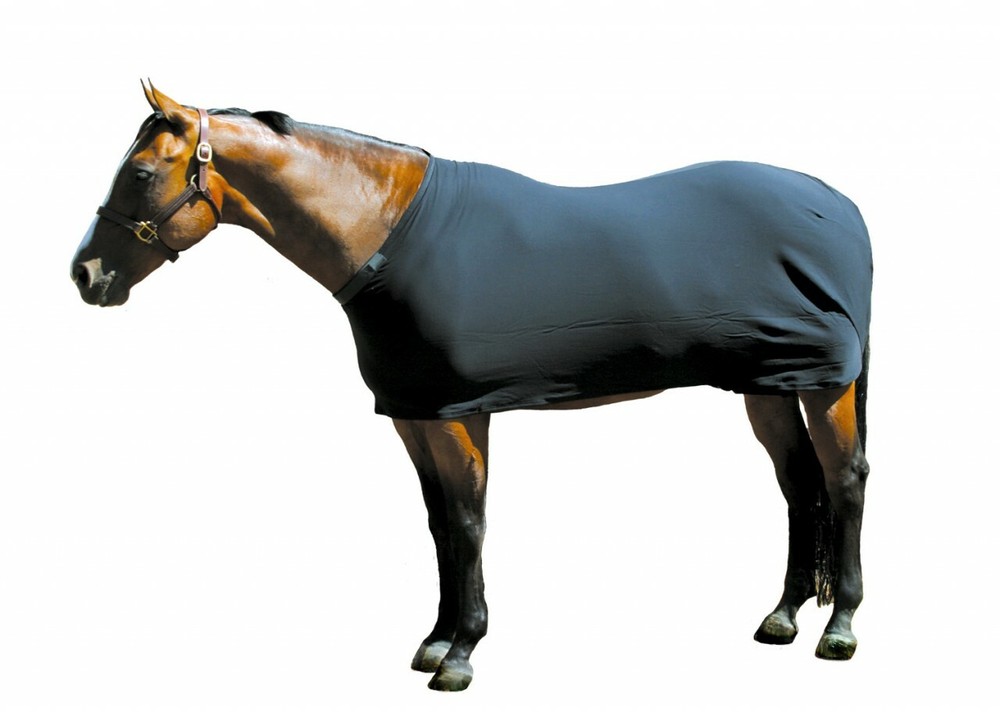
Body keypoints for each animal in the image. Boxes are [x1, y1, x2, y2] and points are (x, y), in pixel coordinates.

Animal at [71, 82, 872, 692]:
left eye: (140, 174)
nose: (86, 275)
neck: (388, 234)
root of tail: (838, 204)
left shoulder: (460, 414)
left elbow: (468, 522)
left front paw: (460, 654)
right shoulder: (414, 413)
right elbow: (436, 525)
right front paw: (434, 638)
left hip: (827, 385)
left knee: (844, 480)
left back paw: (839, 626)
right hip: (770, 383)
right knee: (800, 484)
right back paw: (783, 617)